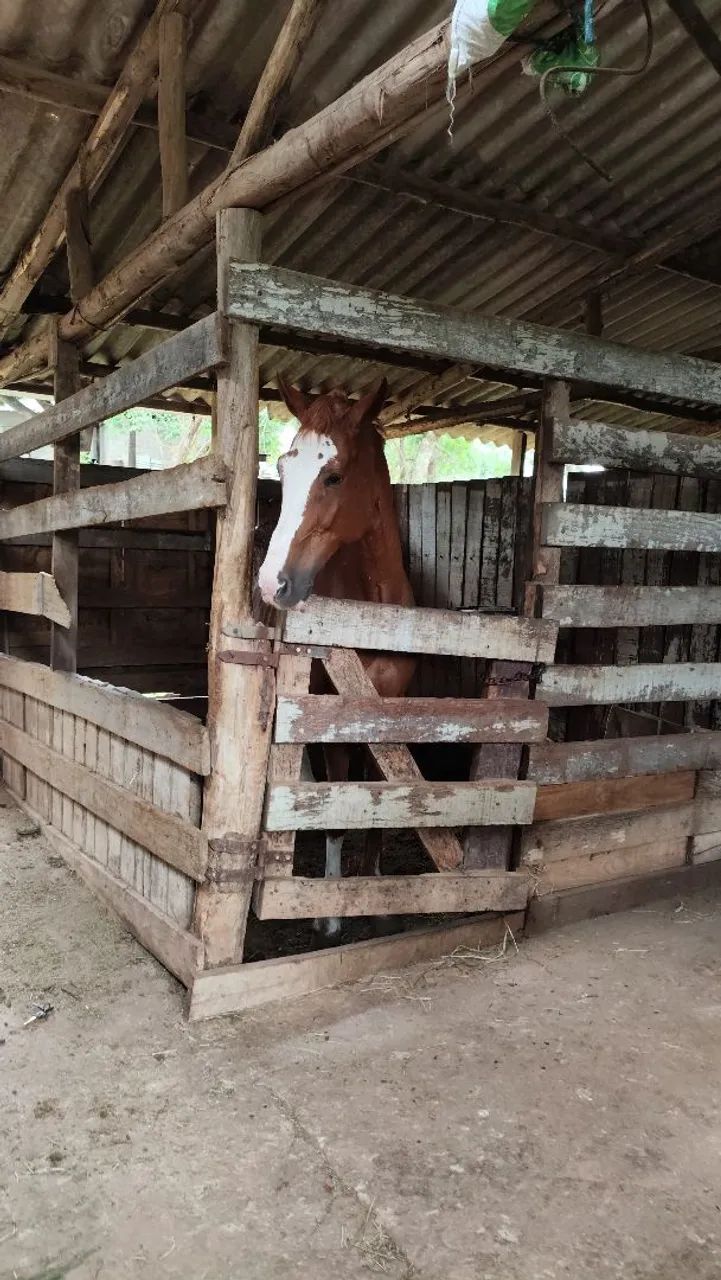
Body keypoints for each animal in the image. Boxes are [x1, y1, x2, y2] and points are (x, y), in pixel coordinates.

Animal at [258, 377, 416, 939]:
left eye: (334, 475)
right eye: (284, 469)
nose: (272, 583)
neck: (371, 613)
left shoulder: (387, 714)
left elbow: (380, 797)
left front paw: (372, 886)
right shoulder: (330, 718)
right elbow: (334, 808)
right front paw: (328, 912)